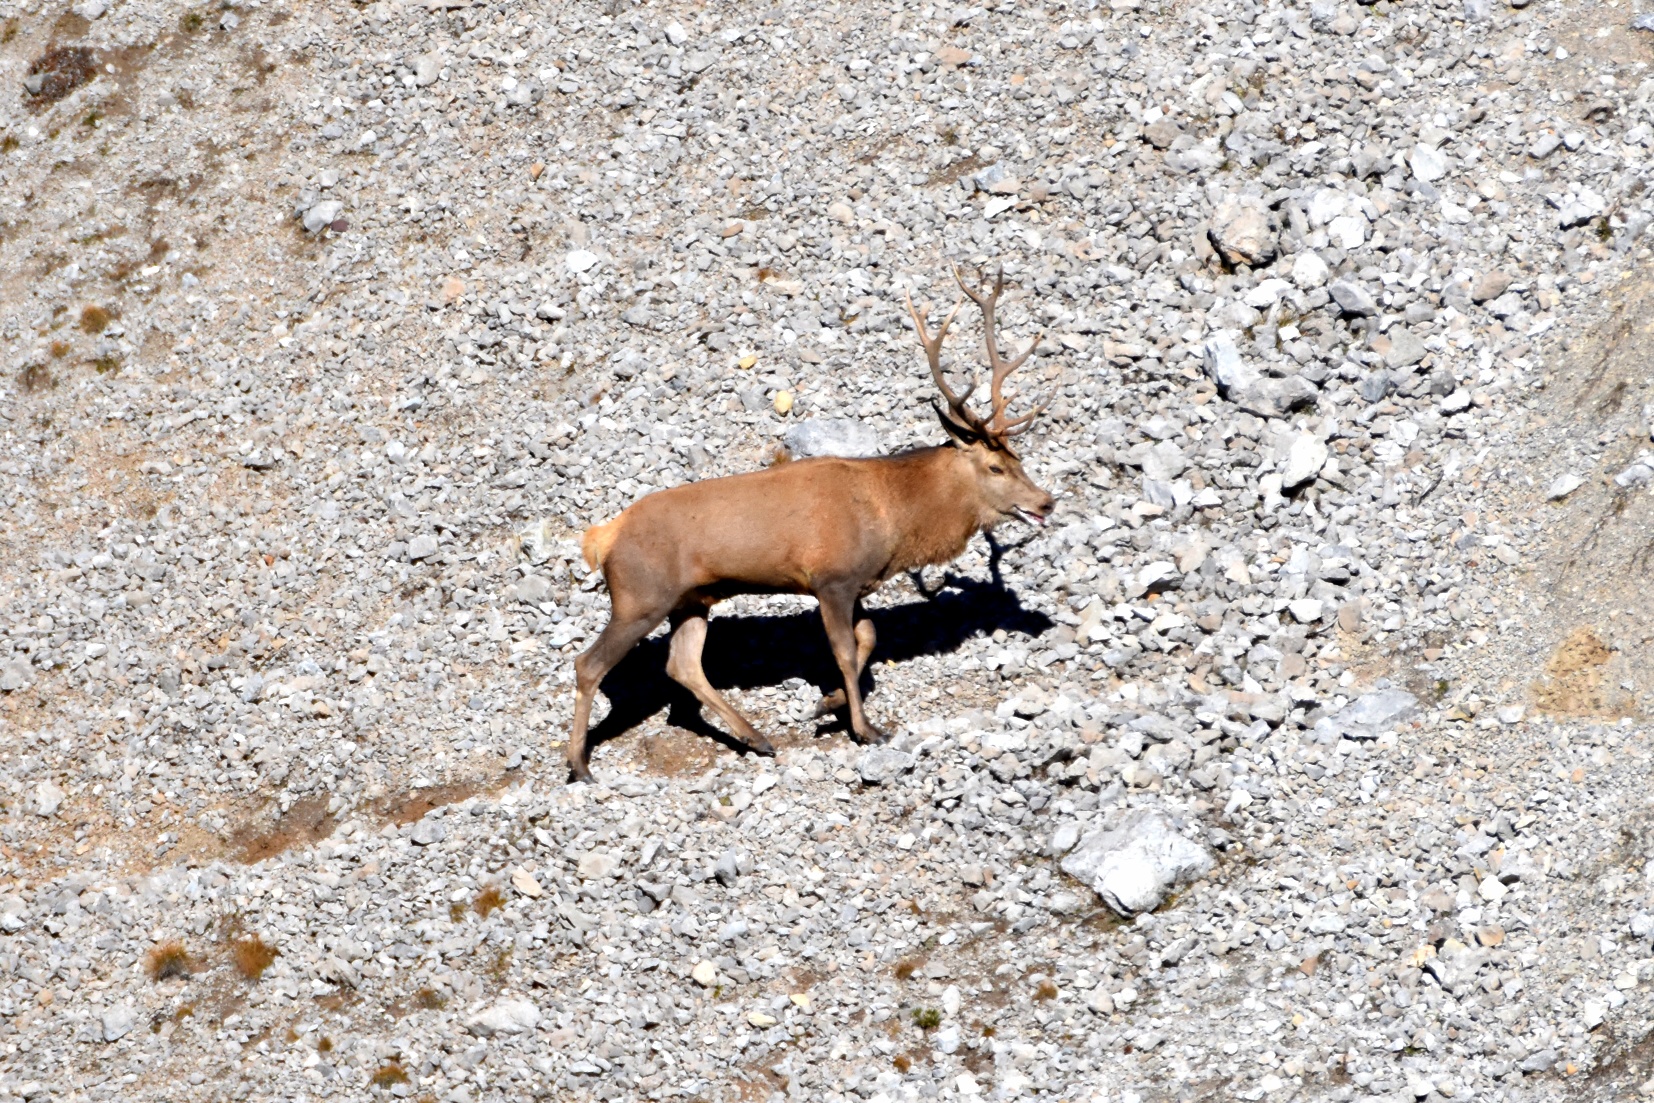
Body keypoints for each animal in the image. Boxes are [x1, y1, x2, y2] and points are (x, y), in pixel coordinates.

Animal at [565, 265, 1056, 783]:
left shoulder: (856, 583)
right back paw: (580, 764)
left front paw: (827, 705)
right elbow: (844, 650)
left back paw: (756, 737)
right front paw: (865, 728)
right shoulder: (831, 578)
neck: (894, 521)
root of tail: (601, 539)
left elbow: (869, 637)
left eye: (1020, 459)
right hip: (640, 597)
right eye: (995, 467)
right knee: (588, 664)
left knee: (682, 666)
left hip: (691, 599)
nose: (1046, 502)